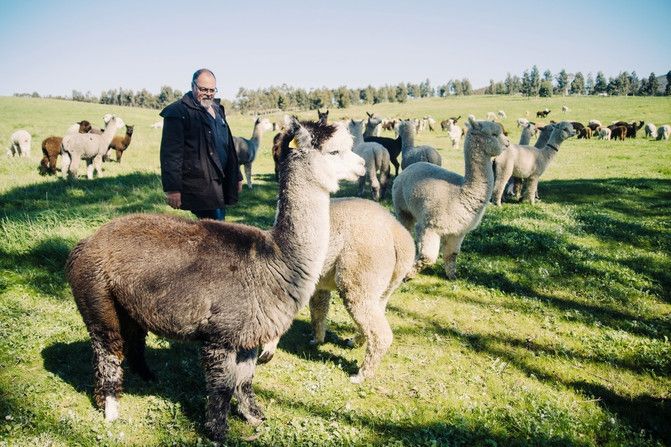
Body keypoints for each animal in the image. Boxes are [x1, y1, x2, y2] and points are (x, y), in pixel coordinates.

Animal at [65, 117, 364, 442]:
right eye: (335, 151)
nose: (362, 165)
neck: (276, 259)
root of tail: (85, 242)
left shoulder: (248, 334)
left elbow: (245, 381)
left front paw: (254, 417)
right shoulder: (221, 335)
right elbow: (222, 387)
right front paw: (218, 432)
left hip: (129, 306)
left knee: (134, 341)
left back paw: (148, 379)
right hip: (97, 296)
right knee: (107, 350)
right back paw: (110, 408)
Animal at [258, 198, 414, 384]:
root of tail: (399, 236)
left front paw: (266, 351)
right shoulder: (318, 284)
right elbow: (318, 310)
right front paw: (316, 339)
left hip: (359, 274)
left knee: (379, 330)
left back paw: (361, 374)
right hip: (384, 287)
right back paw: (355, 342)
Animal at [394, 119, 510, 280]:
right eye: (494, 134)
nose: (508, 143)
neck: (460, 192)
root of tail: (412, 166)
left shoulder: (458, 231)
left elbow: (452, 255)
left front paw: (452, 276)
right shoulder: (430, 226)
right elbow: (427, 257)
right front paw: (408, 275)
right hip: (402, 207)